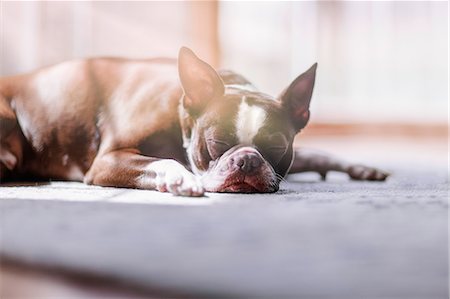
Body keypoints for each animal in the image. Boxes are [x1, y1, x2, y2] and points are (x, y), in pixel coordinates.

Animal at [0, 47, 386, 197]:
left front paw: (361, 167)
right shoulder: (106, 161)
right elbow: (165, 160)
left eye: (277, 147)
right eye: (215, 144)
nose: (247, 160)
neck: (181, 116)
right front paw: (182, 178)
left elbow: (317, 153)